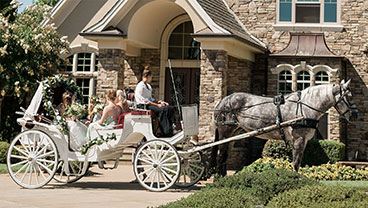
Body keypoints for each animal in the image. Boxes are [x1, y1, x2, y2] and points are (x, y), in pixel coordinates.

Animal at [211, 80, 358, 176]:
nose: (355, 115)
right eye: (349, 97)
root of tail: (222, 102)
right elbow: (296, 162)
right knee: (220, 156)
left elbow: (298, 161)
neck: (305, 107)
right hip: (225, 134)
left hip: (232, 136)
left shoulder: (304, 140)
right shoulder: (299, 139)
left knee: (225, 157)